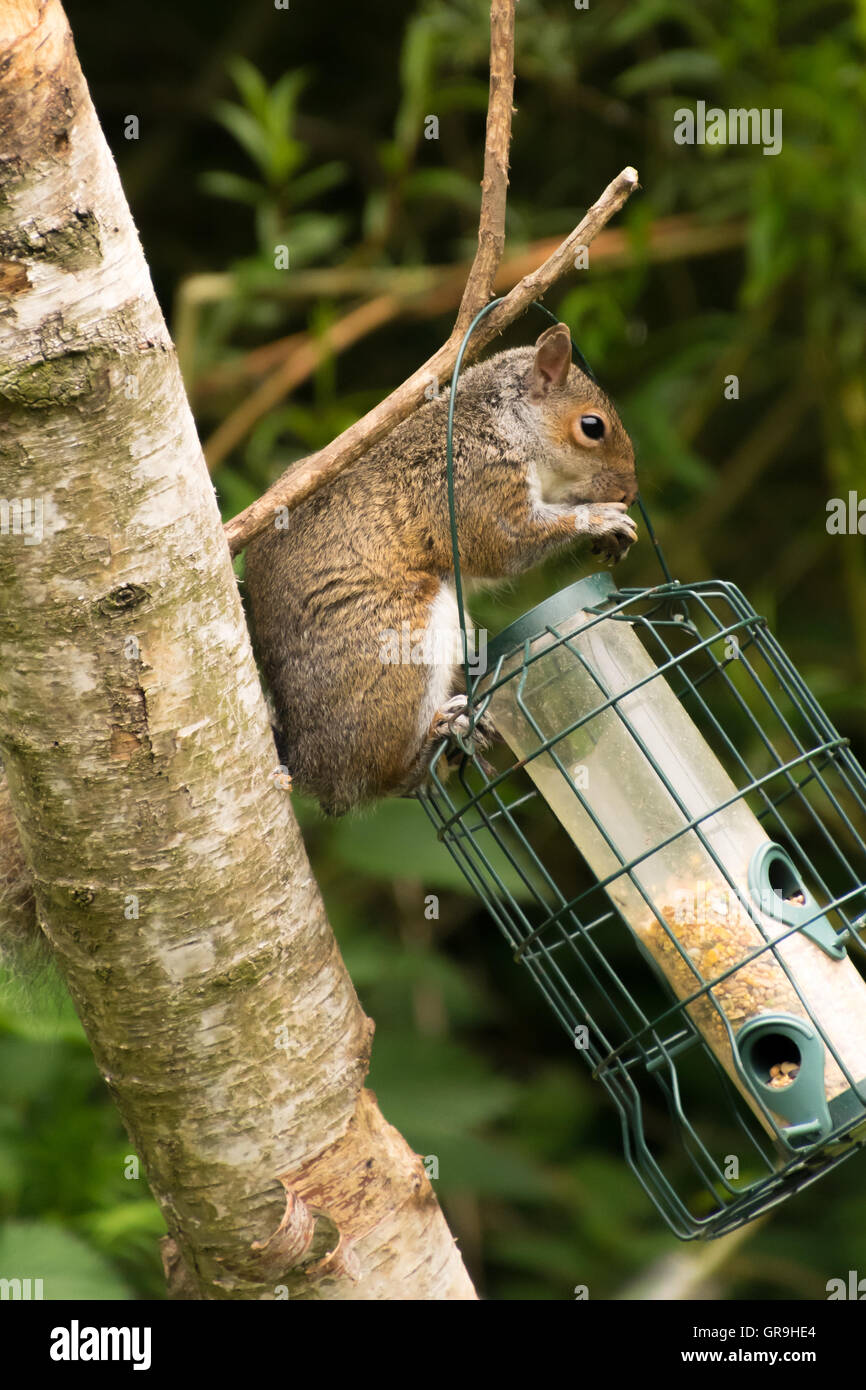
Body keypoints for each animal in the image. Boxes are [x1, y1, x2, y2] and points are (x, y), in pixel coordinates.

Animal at [244, 323, 638, 816]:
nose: (630, 492)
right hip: (398, 639)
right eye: (592, 426)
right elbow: (504, 546)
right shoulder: (471, 481)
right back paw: (440, 735)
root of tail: (310, 764)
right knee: (380, 779)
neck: (504, 424)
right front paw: (600, 519)